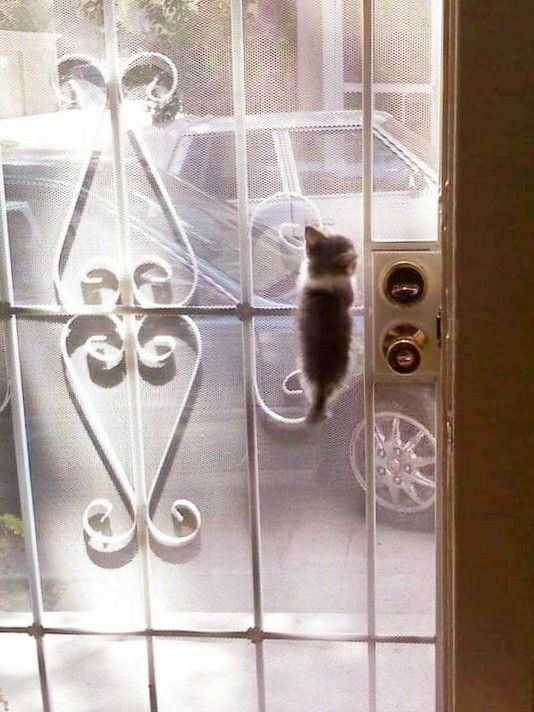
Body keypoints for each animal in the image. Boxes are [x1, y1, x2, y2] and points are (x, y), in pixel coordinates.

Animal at [298, 226, 357, 424]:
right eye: (354, 260)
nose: (355, 255)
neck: (324, 272)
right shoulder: (347, 293)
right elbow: (351, 301)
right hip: (343, 367)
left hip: (304, 371)